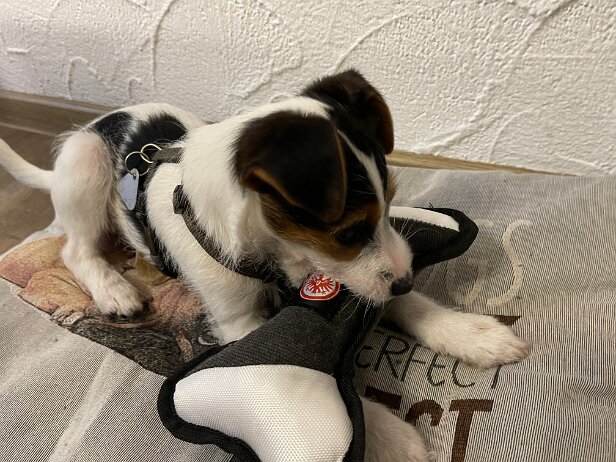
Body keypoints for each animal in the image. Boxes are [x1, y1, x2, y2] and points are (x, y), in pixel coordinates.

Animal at [0, 69, 528, 461]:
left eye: (391, 201)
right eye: (349, 233)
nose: (402, 281)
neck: (275, 252)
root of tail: (99, 123)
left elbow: (392, 301)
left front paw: (469, 332)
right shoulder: (239, 320)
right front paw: (389, 435)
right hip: (86, 165)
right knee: (76, 248)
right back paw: (113, 288)